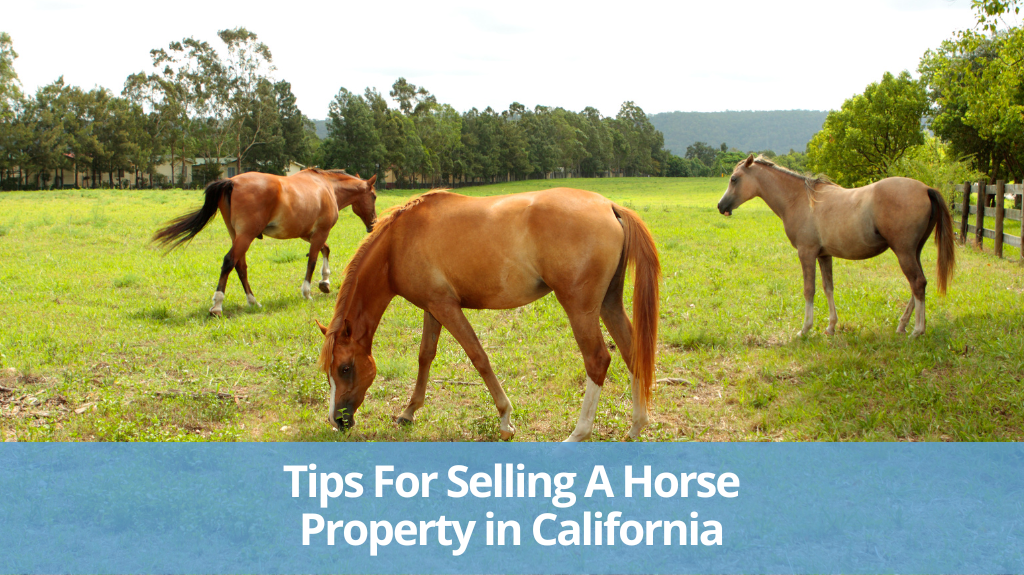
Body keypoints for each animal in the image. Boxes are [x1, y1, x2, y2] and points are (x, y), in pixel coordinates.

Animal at [153, 168, 378, 316]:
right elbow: (313, 260)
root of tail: (232, 182)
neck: (327, 186)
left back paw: (253, 301)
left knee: (240, 266)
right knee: (229, 262)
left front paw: (325, 282)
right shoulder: (320, 232)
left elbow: (326, 251)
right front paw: (307, 292)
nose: (373, 224)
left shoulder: (308, 233)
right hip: (246, 235)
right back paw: (217, 305)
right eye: (374, 196)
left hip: (237, 236)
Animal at [314, 188, 661, 442]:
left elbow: (478, 356)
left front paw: (505, 420)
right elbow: (425, 356)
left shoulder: (446, 307)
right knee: (632, 353)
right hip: (609, 304)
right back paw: (636, 426)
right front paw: (409, 411)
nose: (338, 421)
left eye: (345, 368)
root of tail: (610, 206)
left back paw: (579, 433)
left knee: (598, 360)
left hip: (580, 309)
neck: (399, 242)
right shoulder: (432, 308)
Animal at [716, 155, 955, 337]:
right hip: (914, 251)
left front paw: (805, 329)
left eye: (734, 179)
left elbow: (809, 290)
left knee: (917, 283)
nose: (721, 206)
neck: (799, 199)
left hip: (904, 251)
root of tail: (926, 188)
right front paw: (831, 327)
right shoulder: (824, 255)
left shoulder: (806, 253)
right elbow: (828, 288)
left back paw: (917, 330)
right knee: (919, 285)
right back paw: (903, 325)